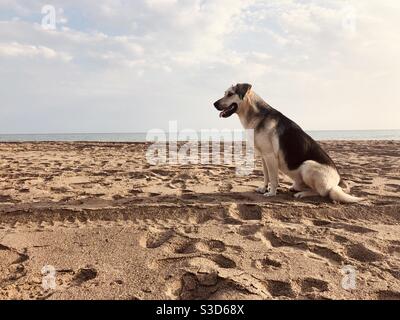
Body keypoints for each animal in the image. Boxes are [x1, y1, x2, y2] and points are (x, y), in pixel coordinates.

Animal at [214, 82, 364, 202]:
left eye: (230, 94)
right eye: (225, 93)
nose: (214, 104)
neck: (255, 114)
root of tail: (337, 182)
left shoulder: (270, 157)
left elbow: (273, 178)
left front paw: (271, 193)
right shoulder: (263, 157)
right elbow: (266, 176)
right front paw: (264, 189)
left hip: (307, 165)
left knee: (322, 192)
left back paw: (303, 194)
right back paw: (296, 189)